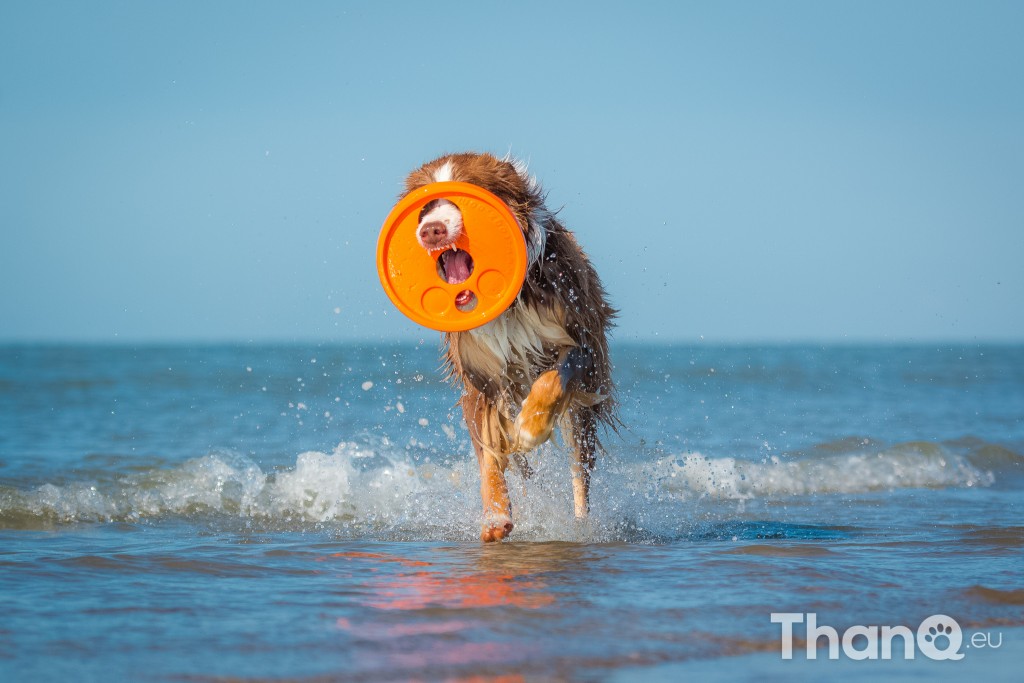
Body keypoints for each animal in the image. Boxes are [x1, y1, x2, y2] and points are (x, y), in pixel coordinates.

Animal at [403, 152, 618, 540]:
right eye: (424, 206)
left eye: (464, 195)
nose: (431, 229)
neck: (510, 307)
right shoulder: (480, 376)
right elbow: (489, 454)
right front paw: (495, 516)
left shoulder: (581, 342)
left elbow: (552, 380)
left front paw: (530, 428)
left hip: (585, 405)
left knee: (580, 469)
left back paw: (580, 525)